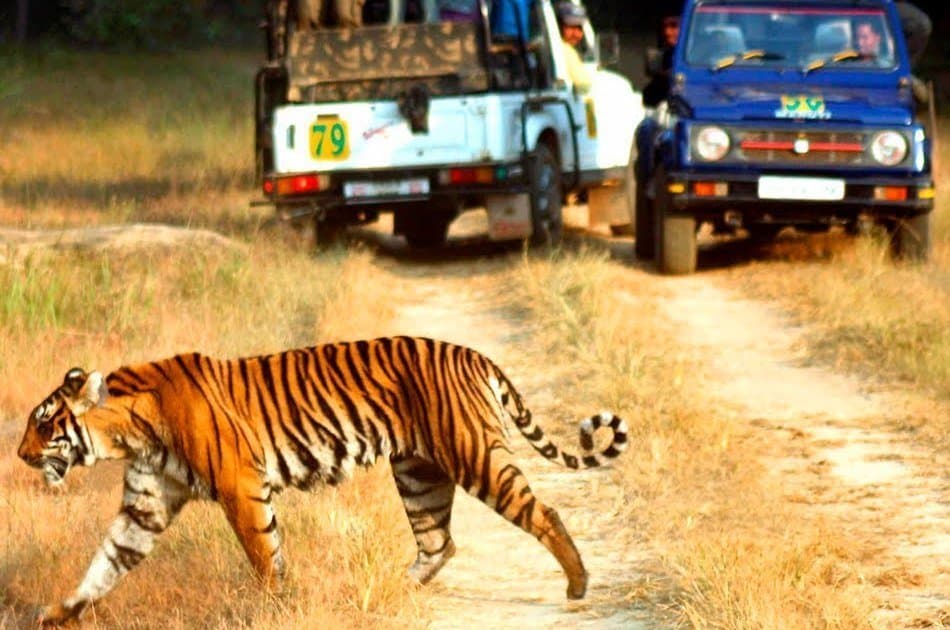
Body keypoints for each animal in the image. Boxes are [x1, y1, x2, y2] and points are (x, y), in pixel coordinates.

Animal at [17, 336, 628, 625]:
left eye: (44, 423)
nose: (21, 454)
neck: (129, 431)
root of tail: (477, 357)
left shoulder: (241, 487)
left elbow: (265, 555)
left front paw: (276, 607)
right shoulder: (145, 507)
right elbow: (104, 564)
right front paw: (58, 614)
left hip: (475, 457)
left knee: (542, 512)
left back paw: (578, 585)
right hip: (418, 473)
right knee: (439, 542)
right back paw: (387, 591)